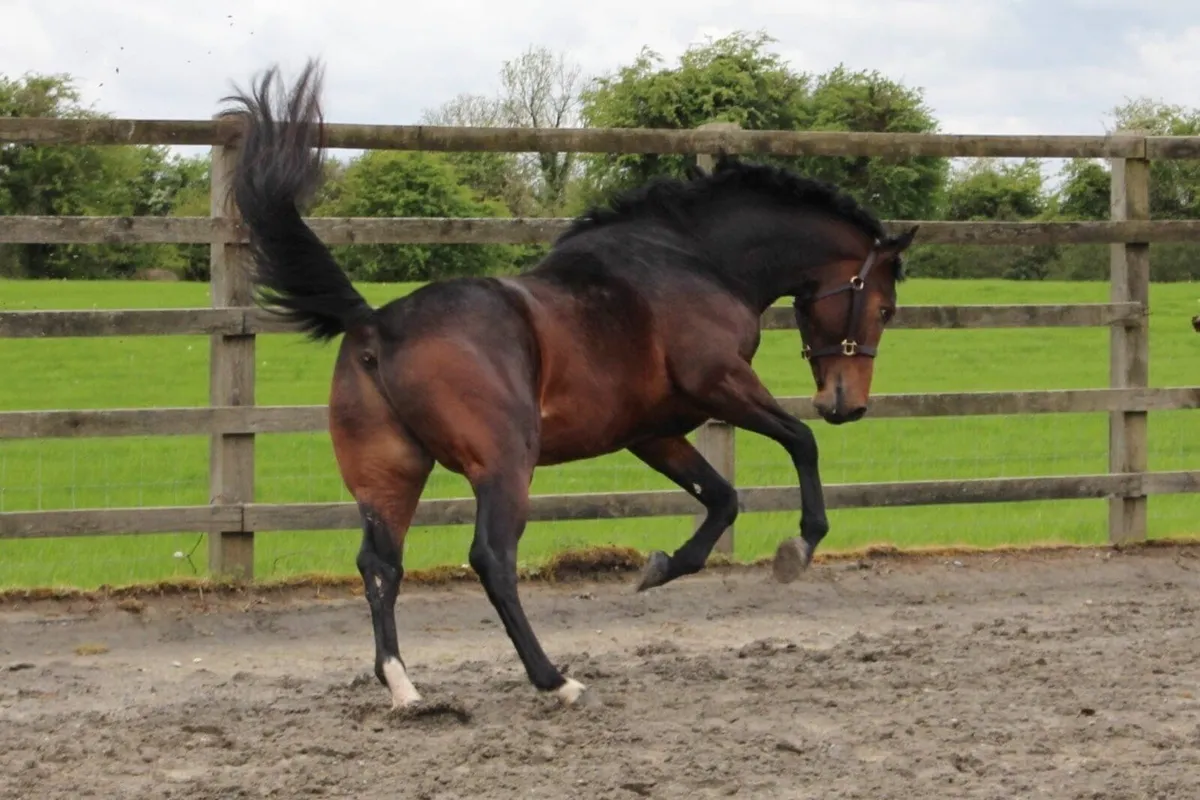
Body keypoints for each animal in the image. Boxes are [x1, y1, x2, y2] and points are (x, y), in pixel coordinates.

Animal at [218, 59, 918, 710]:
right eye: (884, 308)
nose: (847, 403)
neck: (694, 260)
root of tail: (375, 323)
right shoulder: (722, 383)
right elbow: (800, 442)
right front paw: (798, 546)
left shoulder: (653, 432)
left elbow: (721, 498)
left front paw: (660, 568)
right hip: (504, 464)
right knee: (492, 559)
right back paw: (555, 680)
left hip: (389, 473)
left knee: (380, 564)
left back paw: (405, 688)